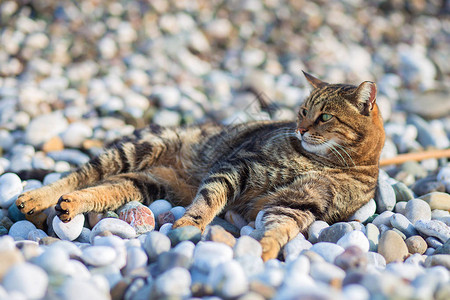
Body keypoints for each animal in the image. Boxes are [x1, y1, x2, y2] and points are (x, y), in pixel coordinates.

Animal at [15, 72, 384, 260]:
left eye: (325, 117)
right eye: (302, 112)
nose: (300, 130)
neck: (327, 161)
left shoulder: (301, 202)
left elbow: (279, 227)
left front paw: (263, 250)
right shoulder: (240, 166)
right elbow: (210, 199)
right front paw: (189, 227)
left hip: (148, 183)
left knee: (105, 189)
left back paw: (70, 205)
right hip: (139, 148)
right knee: (78, 175)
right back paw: (35, 197)